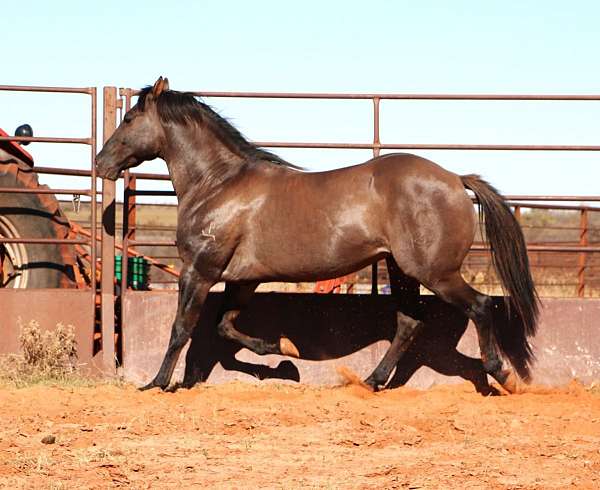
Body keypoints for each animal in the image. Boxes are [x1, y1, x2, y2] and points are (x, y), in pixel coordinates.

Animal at [97, 77, 540, 394]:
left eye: (129, 119)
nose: (101, 163)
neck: (218, 184)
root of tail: (454, 179)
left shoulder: (199, 271)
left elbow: (181, 328)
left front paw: (156, 383)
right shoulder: (243, 280)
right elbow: (225, 327)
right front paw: (285, 353)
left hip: (435, 272)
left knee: (479, 307)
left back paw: (502, 376)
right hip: (403, 270)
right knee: (408, 323)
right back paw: (370, 381)